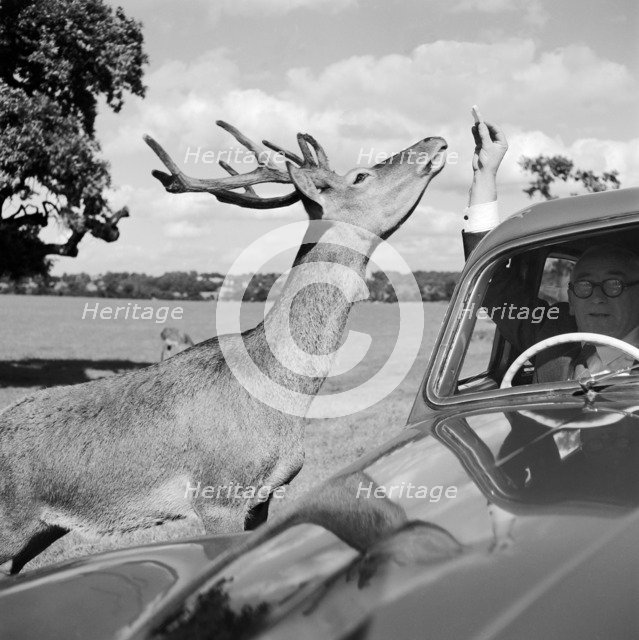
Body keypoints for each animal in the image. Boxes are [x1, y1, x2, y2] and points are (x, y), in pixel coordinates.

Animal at [0, 120, 447, 575]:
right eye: (360, 176)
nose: (433, 140)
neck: (282, 400)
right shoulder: (218, 492)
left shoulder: (264, 496)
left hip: (39, 531)